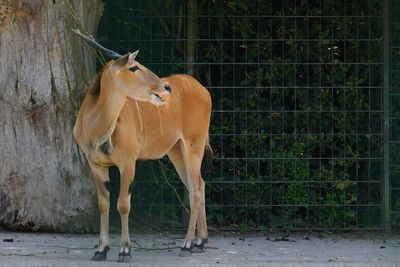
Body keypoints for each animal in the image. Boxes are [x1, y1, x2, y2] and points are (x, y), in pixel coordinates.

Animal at [72, 30, 212, 262]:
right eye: (134, 67)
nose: (166, 87)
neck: (96, 126)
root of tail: (203, 89)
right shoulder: (96, 165)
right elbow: (103, 204)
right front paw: (101, 250)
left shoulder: (128, 163)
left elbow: (122, 204)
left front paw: (124, 250)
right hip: (176, 151)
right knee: (198, 184)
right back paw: (200, 242)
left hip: (194, 144)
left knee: (195, 190)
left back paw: (186, 245)